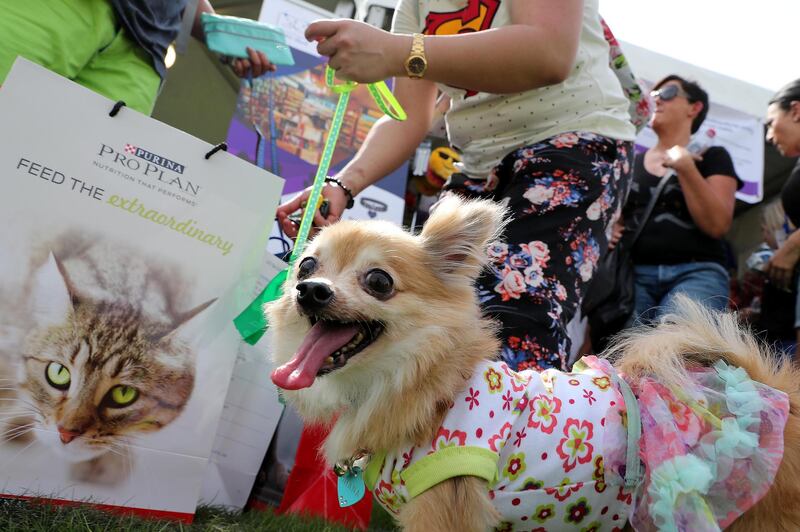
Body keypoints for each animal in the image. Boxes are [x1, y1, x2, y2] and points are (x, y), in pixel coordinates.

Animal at [268, 197, 800, 528]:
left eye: (378, 281)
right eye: (307, 265)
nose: (310, 290)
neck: (430, 386)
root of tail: (777, 390)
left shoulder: (445, 510)